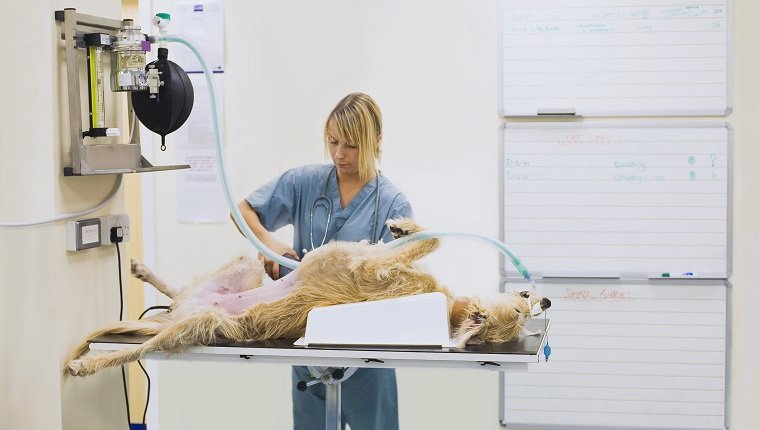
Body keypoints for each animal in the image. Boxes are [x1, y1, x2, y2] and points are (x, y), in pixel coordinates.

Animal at [65, 218, 548, 376]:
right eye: (522, 307)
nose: (543, 303)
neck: (445, 307)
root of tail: (181, 313)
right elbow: (426, 239)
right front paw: (403, 226)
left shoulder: (369, 269)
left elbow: (429, 243)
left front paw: (406, 230)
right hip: (245, 264)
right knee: (178, 289)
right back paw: (144, 271)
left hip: (193, 327)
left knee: (138, 348)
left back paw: (86, 364)